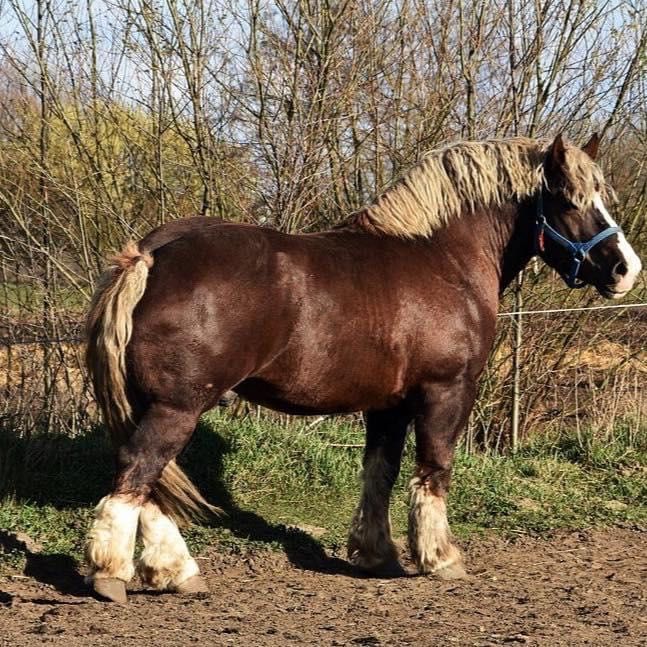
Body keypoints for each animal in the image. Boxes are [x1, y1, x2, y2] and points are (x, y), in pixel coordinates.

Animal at [82, 134, 644, 604]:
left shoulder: (389, 405)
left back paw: (173, 571)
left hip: (153, 404)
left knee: (148, 482)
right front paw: (441, 558)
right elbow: (434, 469)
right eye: (571, 200)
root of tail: (151, 255)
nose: (626, 269)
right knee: (138, 469)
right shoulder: (446, 391)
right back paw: (113, 572)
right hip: (176, 405)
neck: (444, 258)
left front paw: (378, 555)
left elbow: (380, 472)